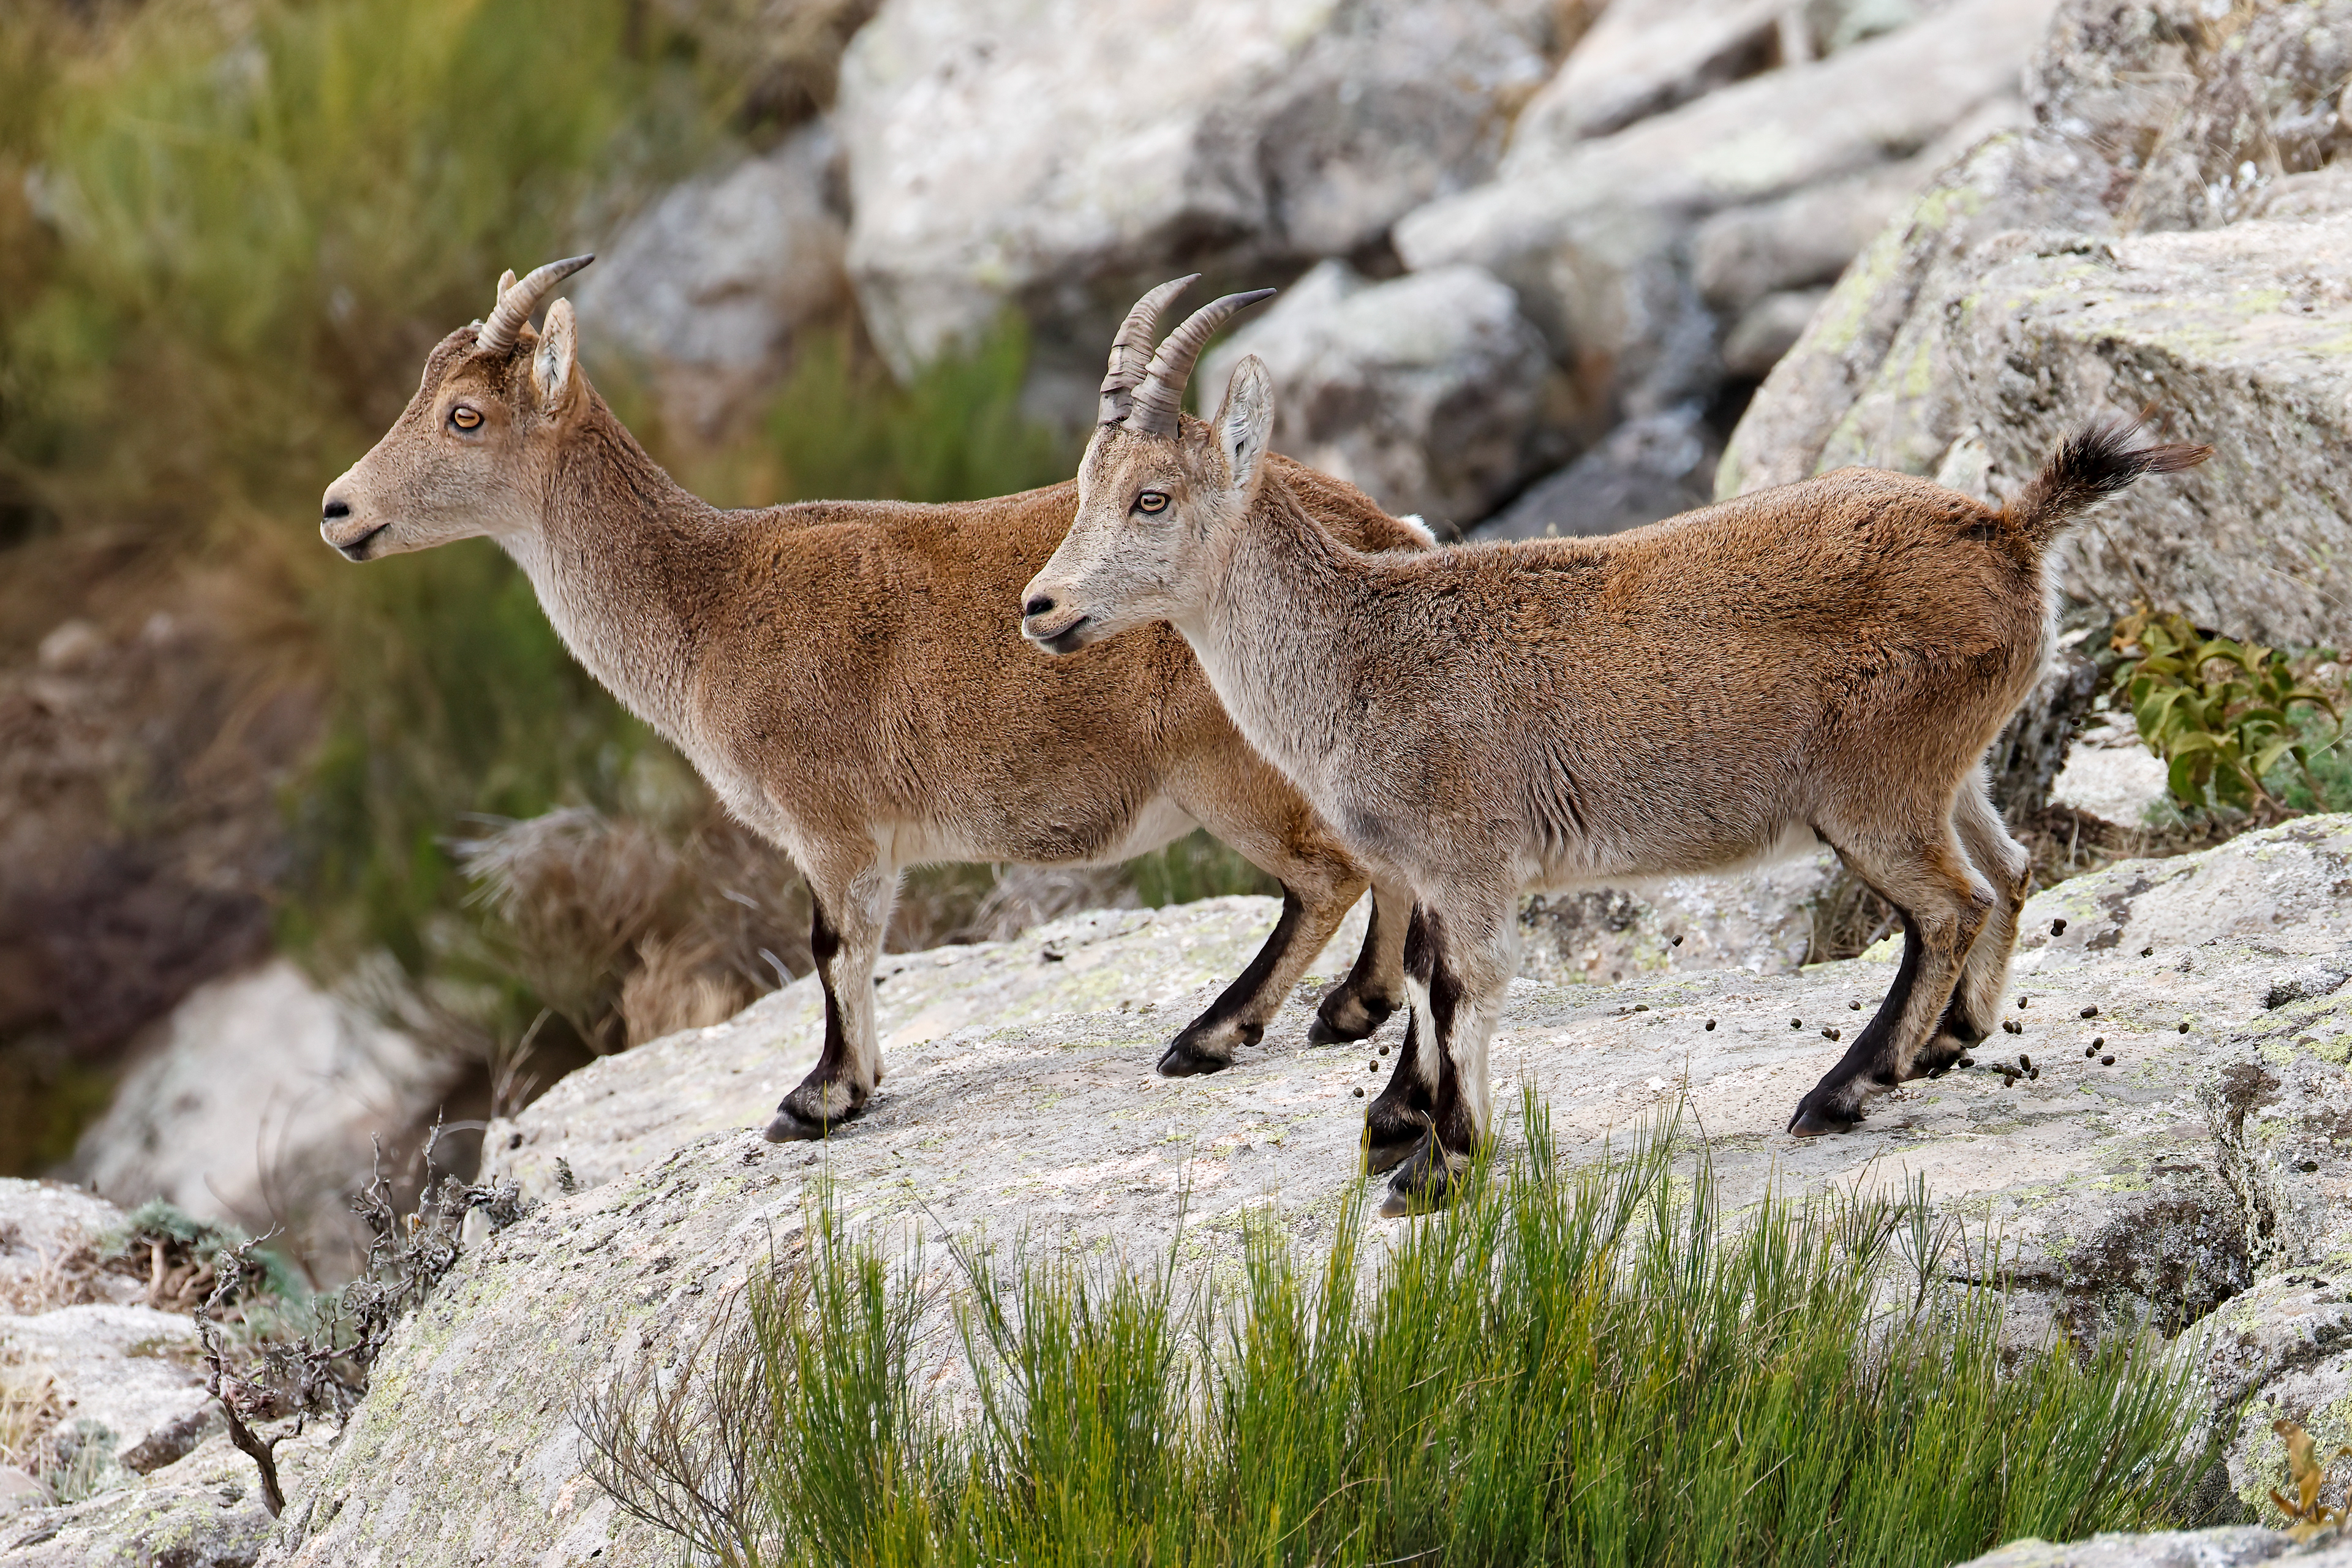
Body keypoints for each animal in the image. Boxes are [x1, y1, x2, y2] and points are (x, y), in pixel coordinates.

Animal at [320, 259, 1432, 1141]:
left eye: (466, 416)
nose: (339, 509)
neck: (706, 602)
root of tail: (1390, 534)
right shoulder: (868, 842)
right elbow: (861, 948)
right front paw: (856, 1080)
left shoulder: (830, 826)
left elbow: (832, 946)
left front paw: (820, 1097)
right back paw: (1350, 1010)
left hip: (1230, 772)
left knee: (1328, 875)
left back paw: (1214, 1034)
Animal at [1022, 278, 2208, 1213]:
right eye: (1082, 488)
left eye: (1153, 497)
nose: (1041, 607)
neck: (1358, 652)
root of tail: (2010, 531)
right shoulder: (1435, 873)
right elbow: (1425, 982)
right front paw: (1402, 1128)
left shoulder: (1467, 854)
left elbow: (1463, 988)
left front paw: (1437, 1168)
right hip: (1946, 770)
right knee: (2008, 870)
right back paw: (1948, 1044)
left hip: (1874, 787)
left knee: (1949, 906)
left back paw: (1843, 1092)